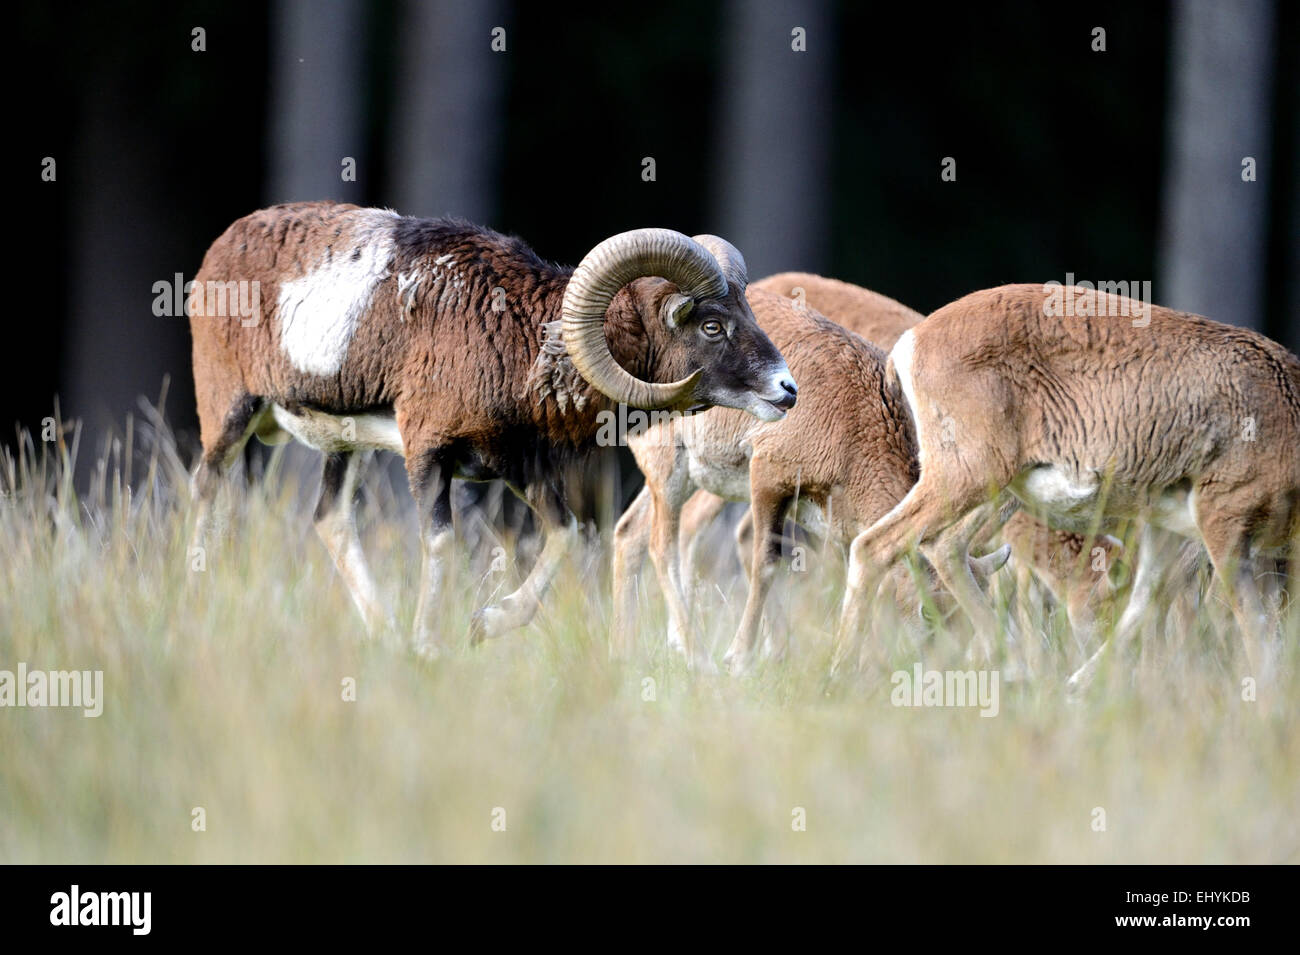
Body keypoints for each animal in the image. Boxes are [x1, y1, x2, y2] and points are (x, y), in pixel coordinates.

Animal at [188, 201, 796, 654]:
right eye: (712, 325)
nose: (786, 389)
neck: (515, 335)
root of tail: (219, 252)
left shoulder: (516, 464)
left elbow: (565, 533)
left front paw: (483, 624)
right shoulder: (428, 453)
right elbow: (440, 543)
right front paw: (430, 646)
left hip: (345, 445)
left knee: (331, 521)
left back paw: (385, 631)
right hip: (230, 416)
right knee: (207, 491)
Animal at [833, 284, 1299, 679]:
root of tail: (910, 343)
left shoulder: (1172, 531)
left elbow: (1149, 600)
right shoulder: (1225, 520)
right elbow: (1255, 627)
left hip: (997, 489)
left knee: (943, 547)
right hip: (967, 476)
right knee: (875, 546)